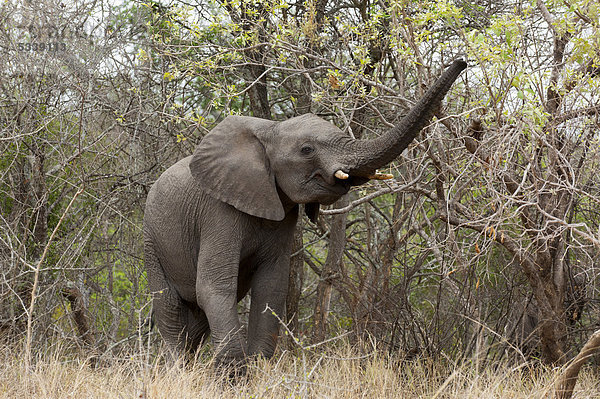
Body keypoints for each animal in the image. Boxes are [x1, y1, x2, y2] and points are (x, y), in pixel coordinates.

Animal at [143, 60, 466, 368]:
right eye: (307, 149)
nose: (462, 61)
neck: (270, 130)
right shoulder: (217, 212)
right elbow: (214, 286)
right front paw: (234, 373)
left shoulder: (283, 216)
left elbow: (271, 288)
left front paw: (256, 369)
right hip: (152, 244)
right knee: (171, 310)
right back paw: (176, 369)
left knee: (197, 321)